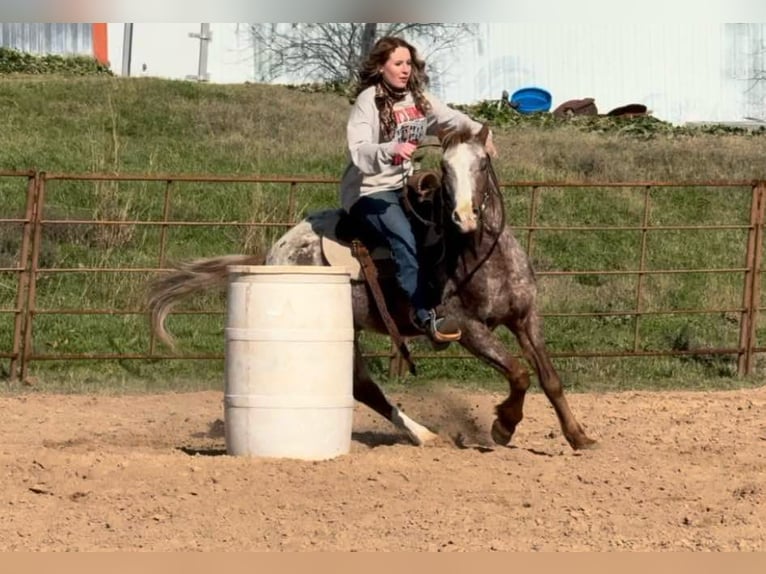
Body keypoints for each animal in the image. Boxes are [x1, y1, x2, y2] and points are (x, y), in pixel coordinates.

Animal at [147, 125, 596, 451]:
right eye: (446, 169)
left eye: (483, 164)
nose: (464, 217)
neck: (482, 254)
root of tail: (273, 252)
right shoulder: (467, 329)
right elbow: (519, 373)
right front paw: (503, 425)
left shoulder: (526, 318)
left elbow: (549, 378)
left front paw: (579, 436)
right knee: (364, 386)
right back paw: (424, 434)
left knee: (361, 386)